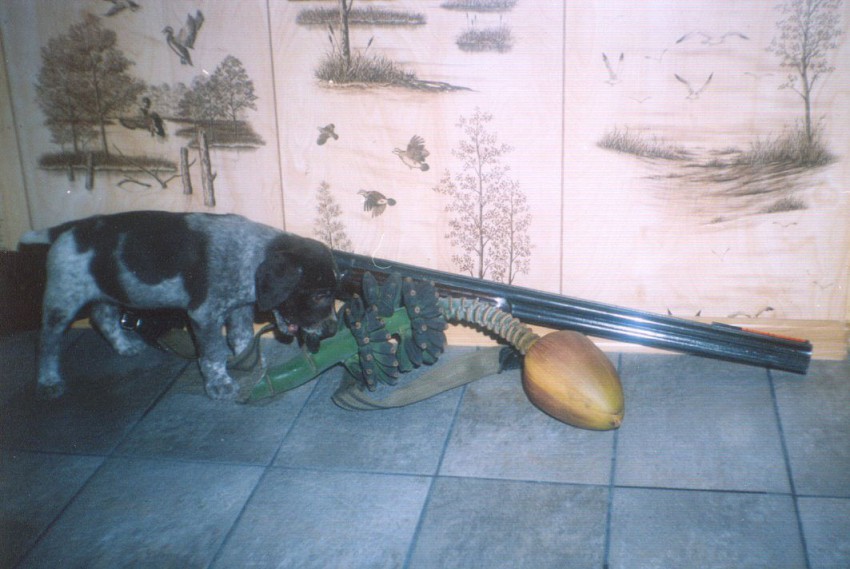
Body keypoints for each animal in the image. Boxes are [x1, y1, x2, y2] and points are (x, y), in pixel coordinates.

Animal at [19, 211, 339, 400]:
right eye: (320, 295)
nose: (332, 330)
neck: (251, 254)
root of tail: (68, 229)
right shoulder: (204, 315)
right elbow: (212, 354)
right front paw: (219, 384)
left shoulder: (238, 309)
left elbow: (242, 338)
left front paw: (246, 361)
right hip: (63, 299)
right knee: (46, 342)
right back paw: (48, 381)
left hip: (107, 289)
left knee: (103, 317)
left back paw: (125, 346)